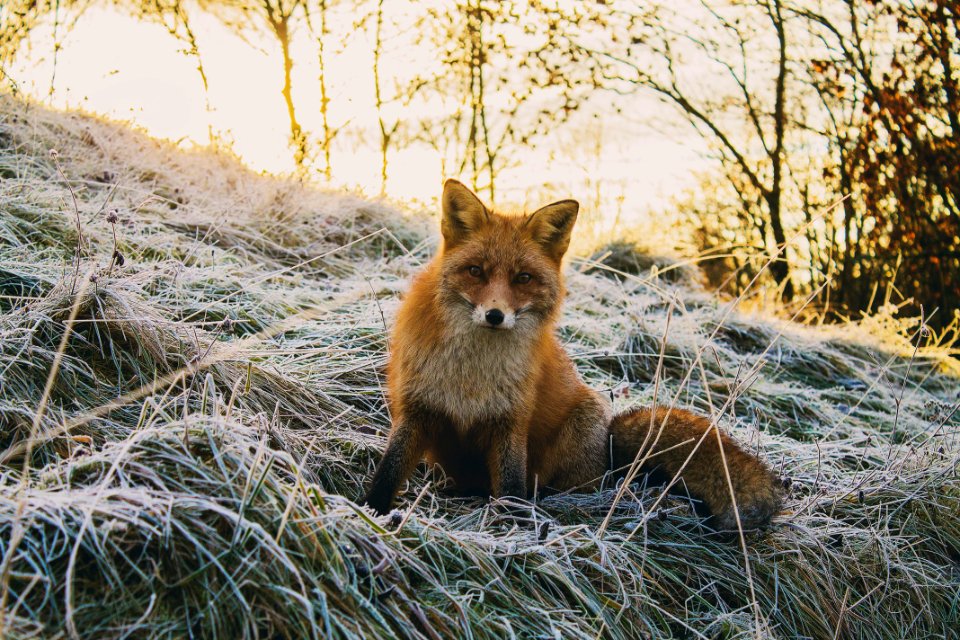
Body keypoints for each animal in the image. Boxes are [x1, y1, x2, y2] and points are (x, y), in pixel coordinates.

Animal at [364, 180, 784, 528]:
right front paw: (370, 513)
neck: (472, 373)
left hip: (580, 428)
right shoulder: (417, 409)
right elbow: (388, 470)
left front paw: (514, 527)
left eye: (523, 278)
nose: (495, 315)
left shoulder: (511, 421)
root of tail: (608, 455)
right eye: (475, 271)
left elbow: (512, 487)